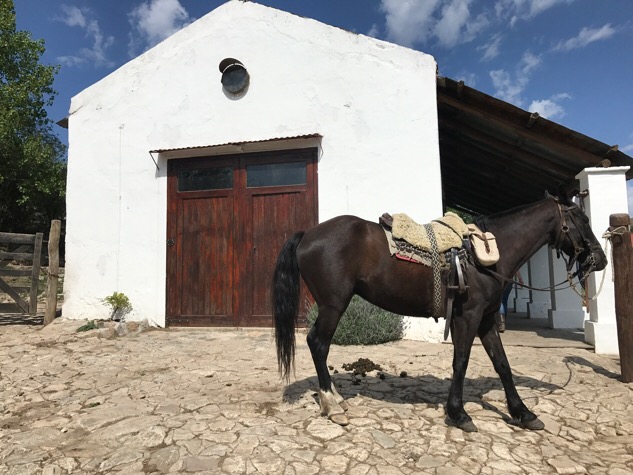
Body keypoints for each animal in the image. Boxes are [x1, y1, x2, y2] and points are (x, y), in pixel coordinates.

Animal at [272, 195, 608, 434]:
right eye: (582, 218)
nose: (600, 259)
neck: (486, 255)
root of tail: (308, 233)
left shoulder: (486, 320)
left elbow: (502, 364)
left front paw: (523, 413)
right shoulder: (468, 316)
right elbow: (461, 361)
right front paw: (459, 413)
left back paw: (335, 398)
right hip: (333, 305)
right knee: (318, 343)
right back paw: (331, 405)